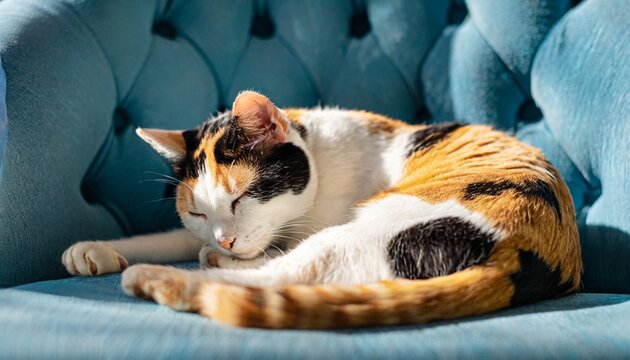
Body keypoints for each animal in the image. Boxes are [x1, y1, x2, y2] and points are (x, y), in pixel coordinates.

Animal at [60, 90, 584, 330]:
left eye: (240, 198)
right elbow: (168, 238)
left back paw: (166, 276)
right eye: (198, 214)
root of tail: (524, 258)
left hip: (367, 227)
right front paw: (96, 250)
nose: (225, 238)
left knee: (277, 275)